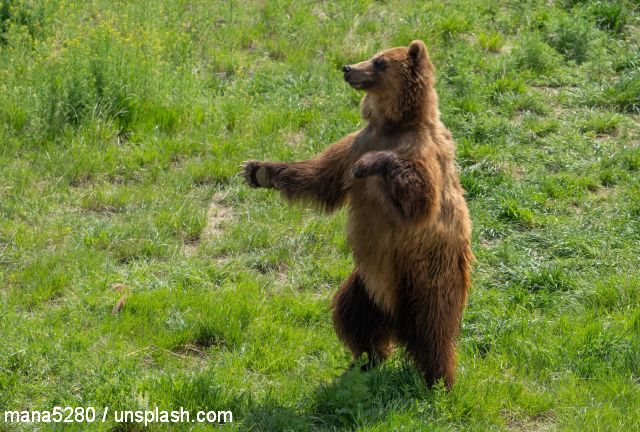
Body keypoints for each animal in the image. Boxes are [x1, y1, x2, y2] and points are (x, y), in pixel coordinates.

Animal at [242, 40, 472, 390]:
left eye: (379, 62)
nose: (348, 68)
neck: (394, 123)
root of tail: (396, 318)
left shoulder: (421, 152)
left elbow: (421, 200)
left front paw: (371, 165)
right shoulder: (357, 142)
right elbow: (321, 176)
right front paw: (259, 171)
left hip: (427, 276)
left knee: (434, 329)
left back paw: (437, 381)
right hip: (367, 285)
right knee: (352, 314)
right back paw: (365, 360)